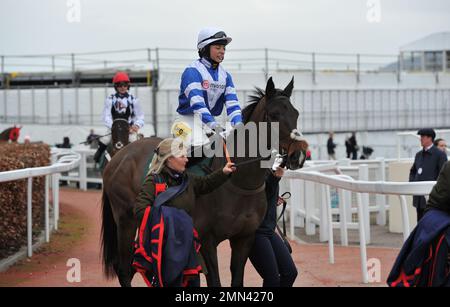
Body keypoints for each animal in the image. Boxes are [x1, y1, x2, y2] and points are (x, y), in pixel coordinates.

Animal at [100, 76, 308, 286]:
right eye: (274, 115)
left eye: (296, 113)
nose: (299, 154)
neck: (239, 183)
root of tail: (119, 156)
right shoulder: (207, 241)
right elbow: (214, 280)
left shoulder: (244, 239)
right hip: (126, 220)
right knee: (125, 269)